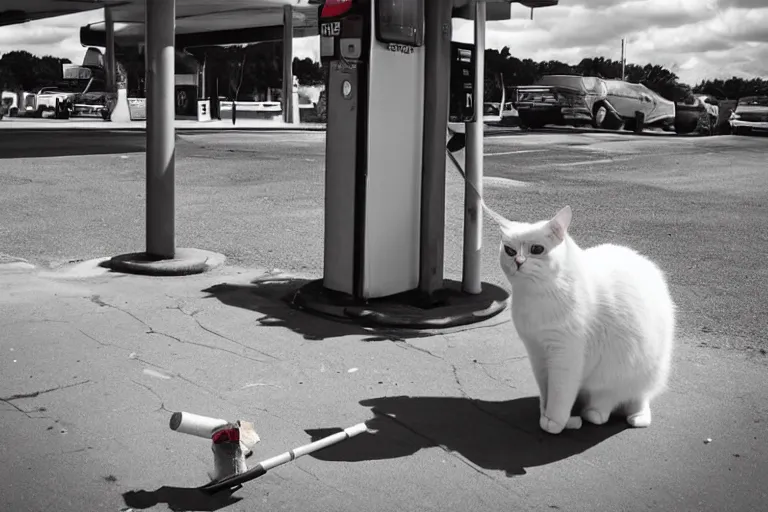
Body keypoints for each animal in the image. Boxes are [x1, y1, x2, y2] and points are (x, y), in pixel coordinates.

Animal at [498, 206, 672, 434]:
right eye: (509, 251)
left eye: (537, 249)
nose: (518, 262)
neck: (536, 297)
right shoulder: (537, 353)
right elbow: (546, 391)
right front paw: (545, 416)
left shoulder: (565, 355)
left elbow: (559, 394)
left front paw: (555, 422)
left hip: (631, 372)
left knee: (622, 401)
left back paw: (608, 414)